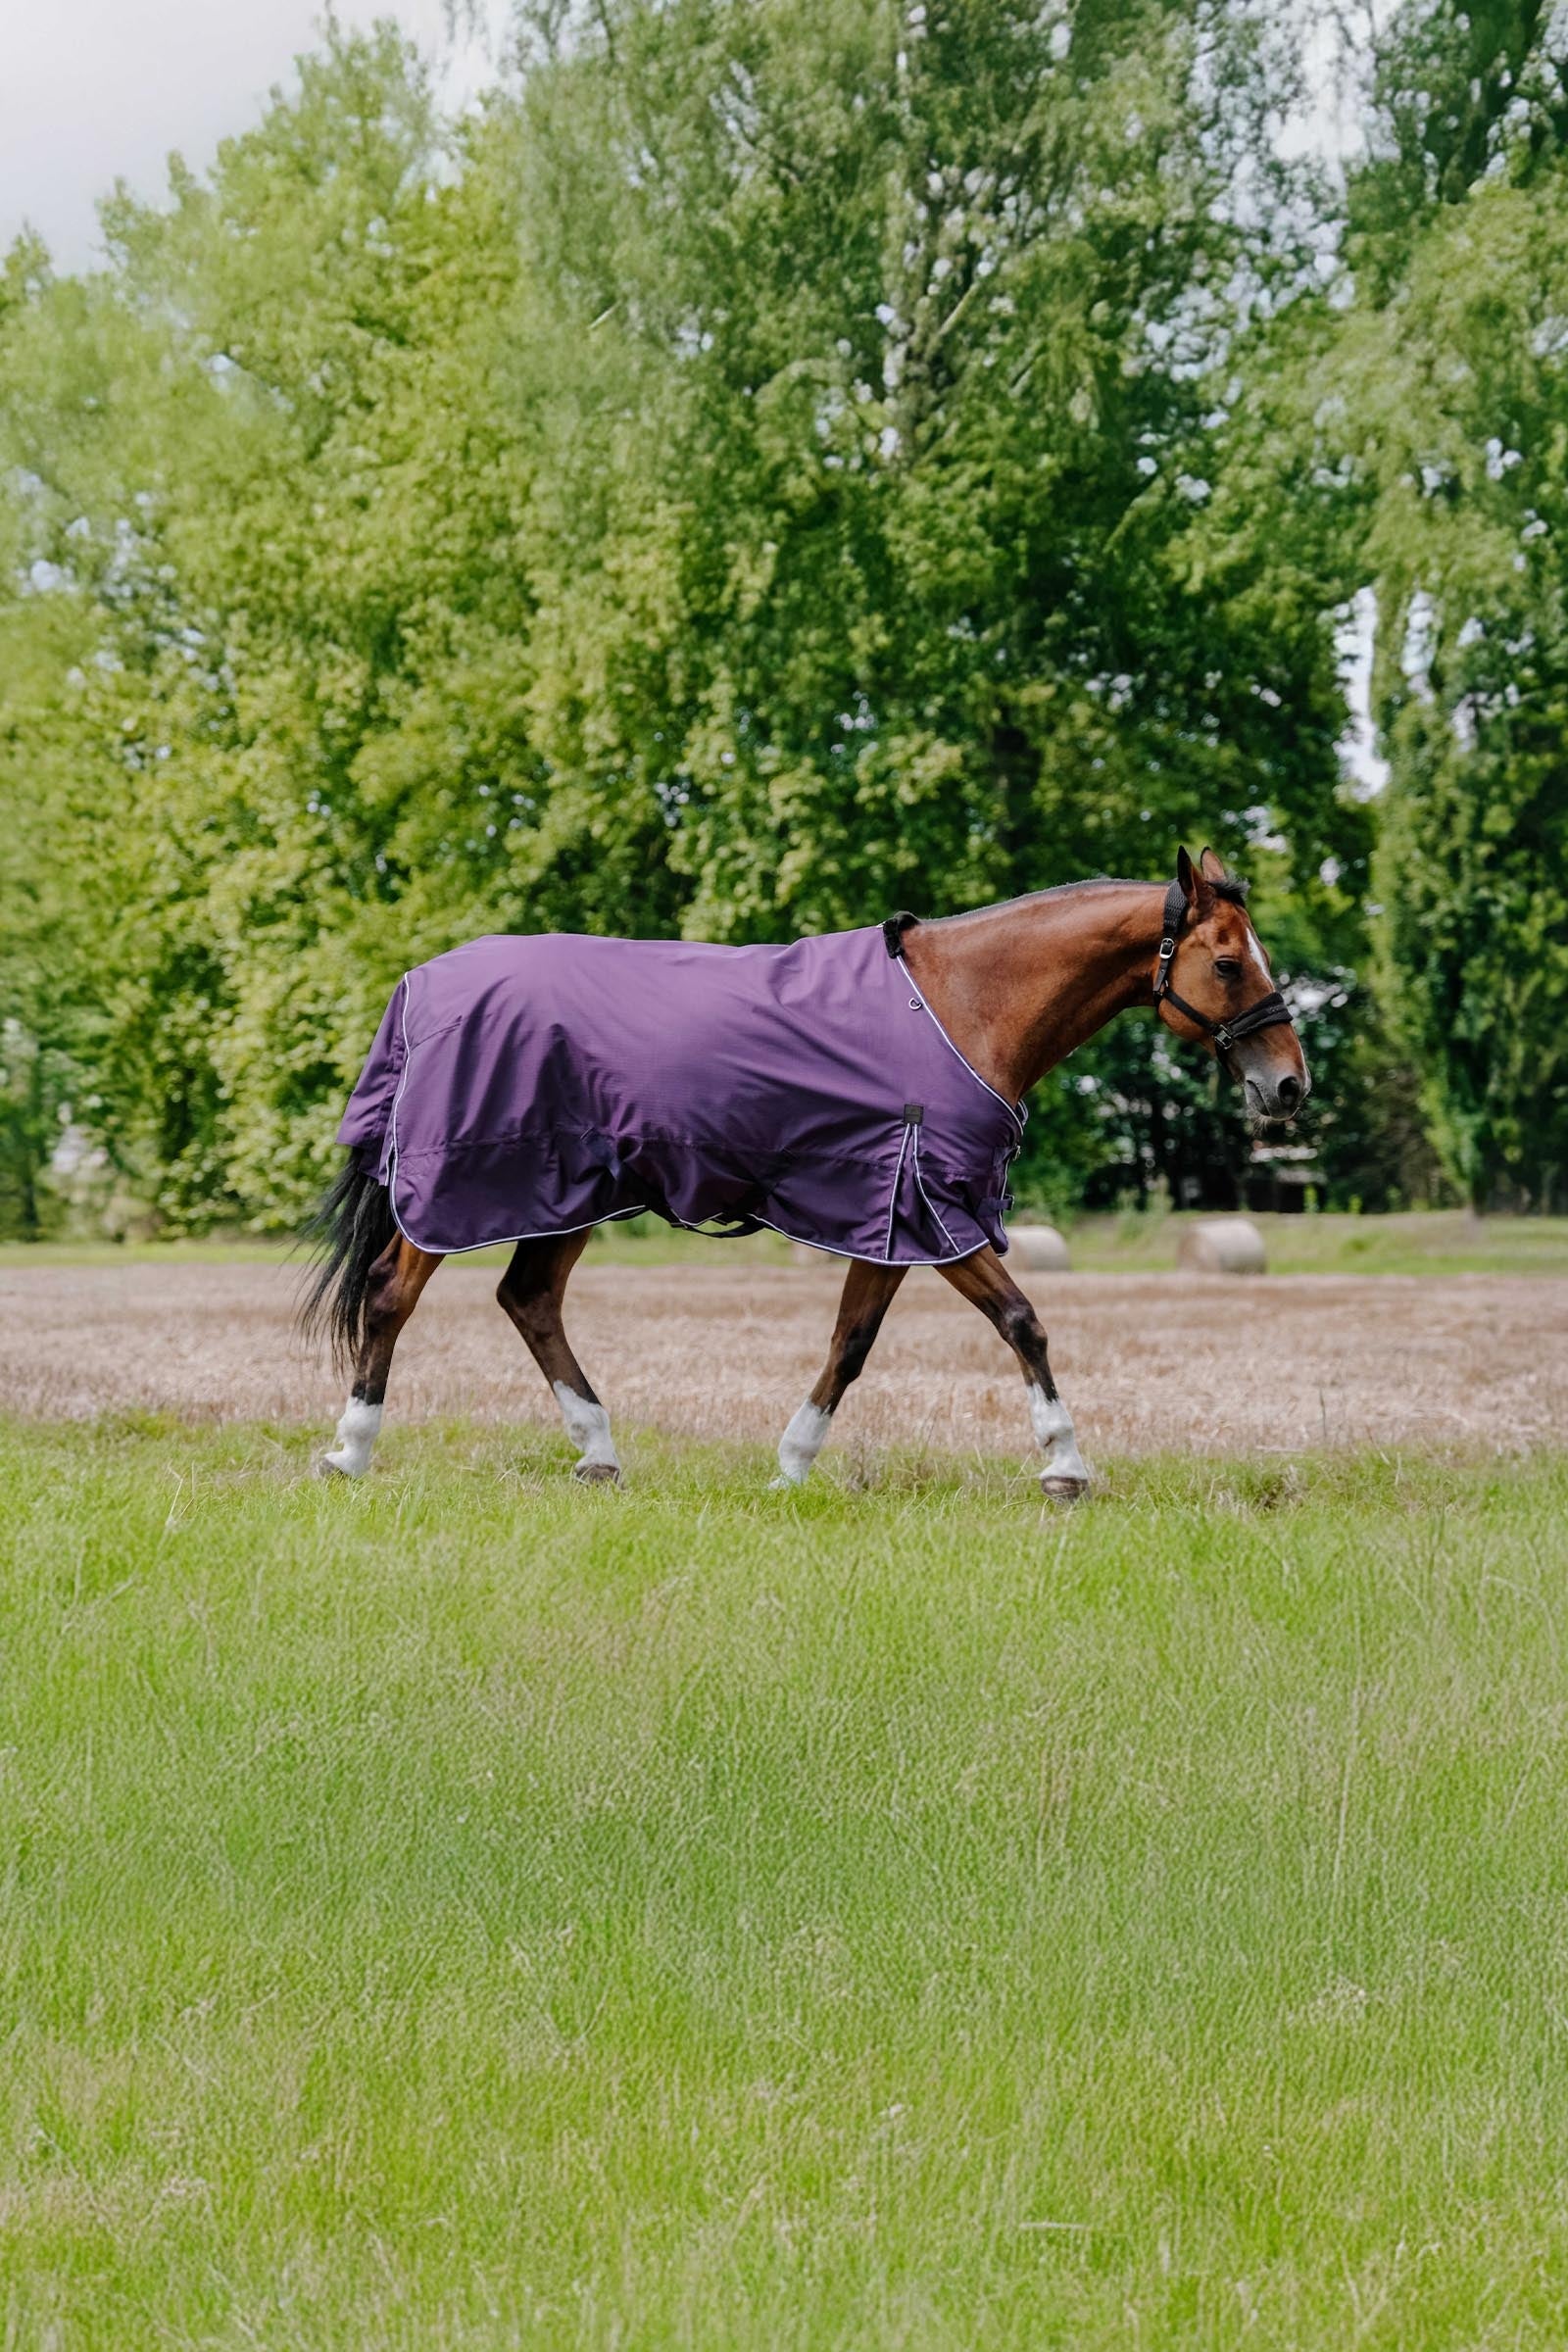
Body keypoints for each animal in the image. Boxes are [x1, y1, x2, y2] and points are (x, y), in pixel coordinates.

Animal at [301, 846, 1308, 1499]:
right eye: (1228, 961)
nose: (1288, 1085)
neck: (963, 1004)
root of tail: (422, 986)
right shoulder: (934, 1211)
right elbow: (1022, 1322)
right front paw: (1063, 1463)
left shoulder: (889, 1216)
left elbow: (851, 1343)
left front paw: (791, 1463)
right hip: (459, 1192)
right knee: (392, 1294)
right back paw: (350, 1451)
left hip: (569, 1195)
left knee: (529, 1300)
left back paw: (598, 1452)